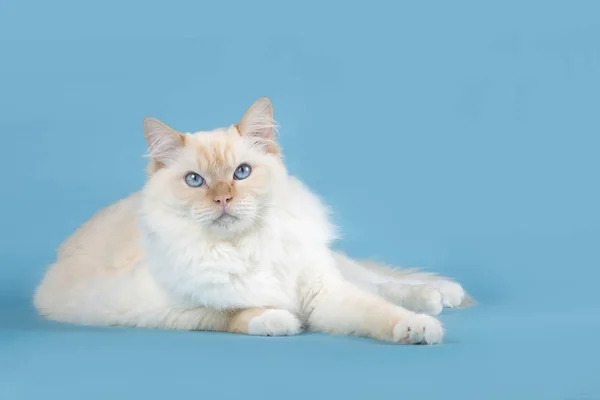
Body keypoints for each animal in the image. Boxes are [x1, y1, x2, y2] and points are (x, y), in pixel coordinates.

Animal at [35, 97, 472, 344]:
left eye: (242, 173)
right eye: (195, 181)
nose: (223, 198)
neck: (245, 247)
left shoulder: (323, 293)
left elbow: (378, 312)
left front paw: (417, 329)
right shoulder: (161, 309)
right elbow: (229, 312)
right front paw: (278, 319)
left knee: (380, 284)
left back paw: (438, 298)